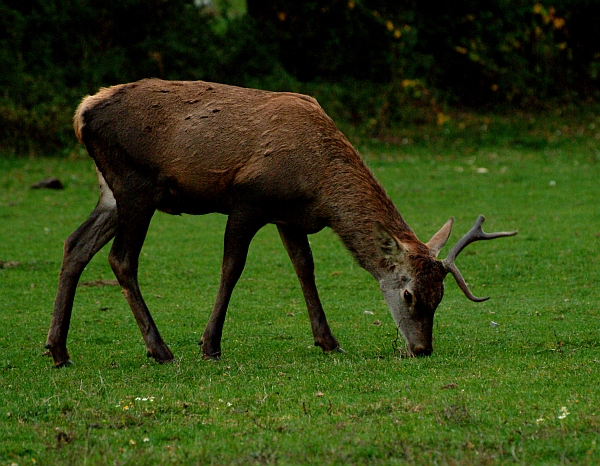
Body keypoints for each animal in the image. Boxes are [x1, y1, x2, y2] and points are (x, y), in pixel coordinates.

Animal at [45, 78, 516, 366]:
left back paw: (58, 349)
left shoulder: (289, 216)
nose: (421, 348)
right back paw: (160, 349)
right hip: (136, 184)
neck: (318, 186)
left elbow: (305, 269)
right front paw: (210, 345)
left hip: (111, 192)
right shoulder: (248, 200)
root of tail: (81, 113)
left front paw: (328, 341)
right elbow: (232, 268)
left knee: (74, 245)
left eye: (440, 297)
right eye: (410, 295)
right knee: (121, 259)